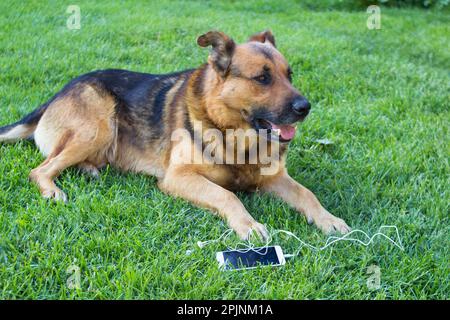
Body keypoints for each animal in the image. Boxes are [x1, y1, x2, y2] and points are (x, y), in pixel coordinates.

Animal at [0, 30, 350, 240]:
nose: (305, 107)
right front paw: (248, 224)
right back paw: (52, 189)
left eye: (289, 75)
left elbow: (307, 194)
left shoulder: (273, 178)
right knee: (41, 168)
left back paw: (89, 169)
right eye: (262, 78)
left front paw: (328, 219)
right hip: (98, 126)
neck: (234, 134)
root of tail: (60, 91)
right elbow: (228, 195)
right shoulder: (178, 178)